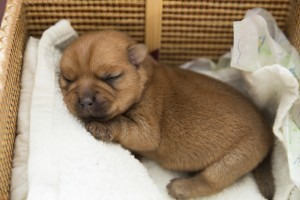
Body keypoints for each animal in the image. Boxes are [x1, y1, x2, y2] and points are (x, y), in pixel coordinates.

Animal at [59, 30, 276, 199]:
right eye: (68, 79)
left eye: (111, 77)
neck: (146, 79)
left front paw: (101, 127)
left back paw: (180, 188)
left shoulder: (147, 126)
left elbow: (123, 124)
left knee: (211, 181)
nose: (85, 101)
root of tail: (268, 131)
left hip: (235, 159)